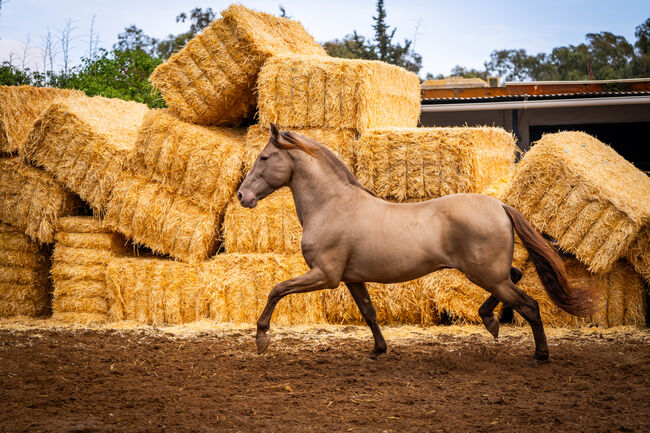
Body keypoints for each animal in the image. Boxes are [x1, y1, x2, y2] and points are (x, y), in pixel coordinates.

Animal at [235, 123, 596, 360]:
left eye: (264, 158)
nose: (242, 196)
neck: (331, 205)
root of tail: (500, 205)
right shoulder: (351, 279)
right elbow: (369, 313)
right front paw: (378, 350)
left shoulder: (325, 275)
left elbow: (276, 290)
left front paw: (262, 338)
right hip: (490, 273)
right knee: (517, 279)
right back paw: (490, 319)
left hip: (486, 274)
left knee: (530, 305)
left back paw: (539, 353)